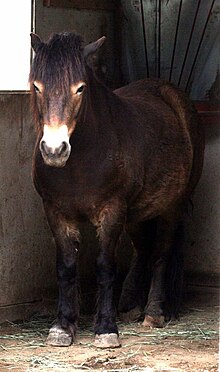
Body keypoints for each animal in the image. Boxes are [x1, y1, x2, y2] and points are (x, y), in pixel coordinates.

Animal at [29, 32, 205, 348]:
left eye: (81, 88)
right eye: (37, 86)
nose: (54, 150)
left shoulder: (111, 212)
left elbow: (104, 267)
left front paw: (105, 328)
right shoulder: (56, 212)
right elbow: (66, 267)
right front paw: (63, 327)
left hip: (171, 208)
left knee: (160, 254)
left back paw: (153, 312)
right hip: (137, 213)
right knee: (143, 250)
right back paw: (130, 305)